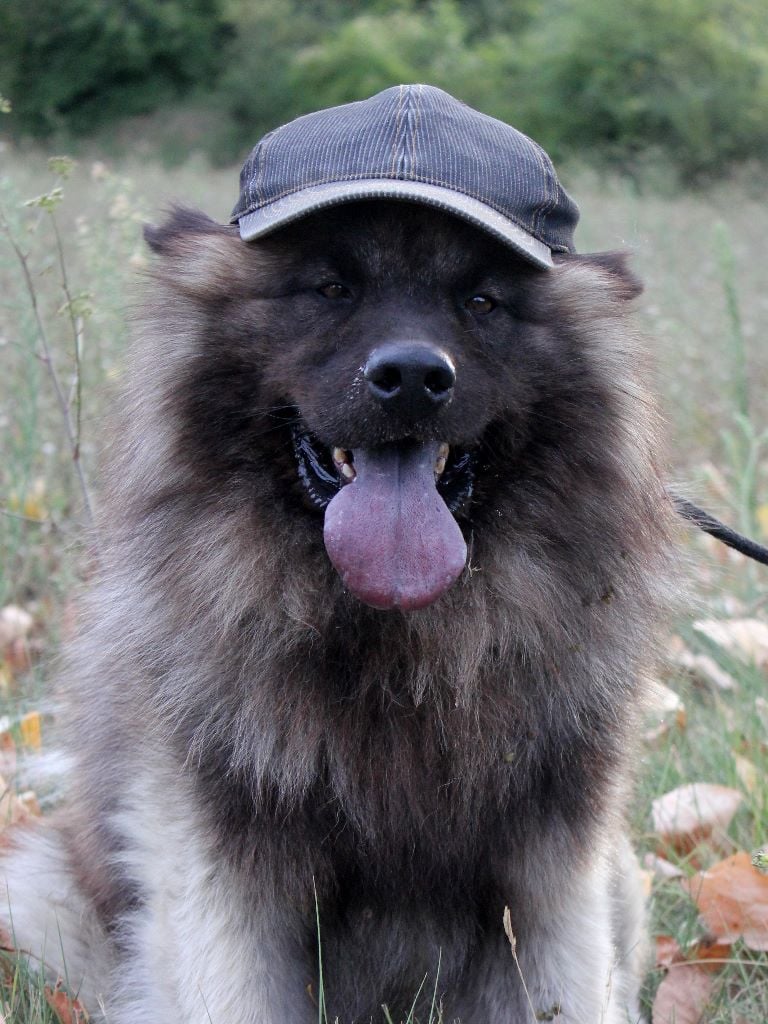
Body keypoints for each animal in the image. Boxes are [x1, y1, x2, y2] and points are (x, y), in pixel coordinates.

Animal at [3, 88, 673, 1024]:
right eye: (330, 288)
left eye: (482, 301)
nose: (414, 377)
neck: (399, 652)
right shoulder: (224, 868)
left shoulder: (554, 869)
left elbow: (569, 990)